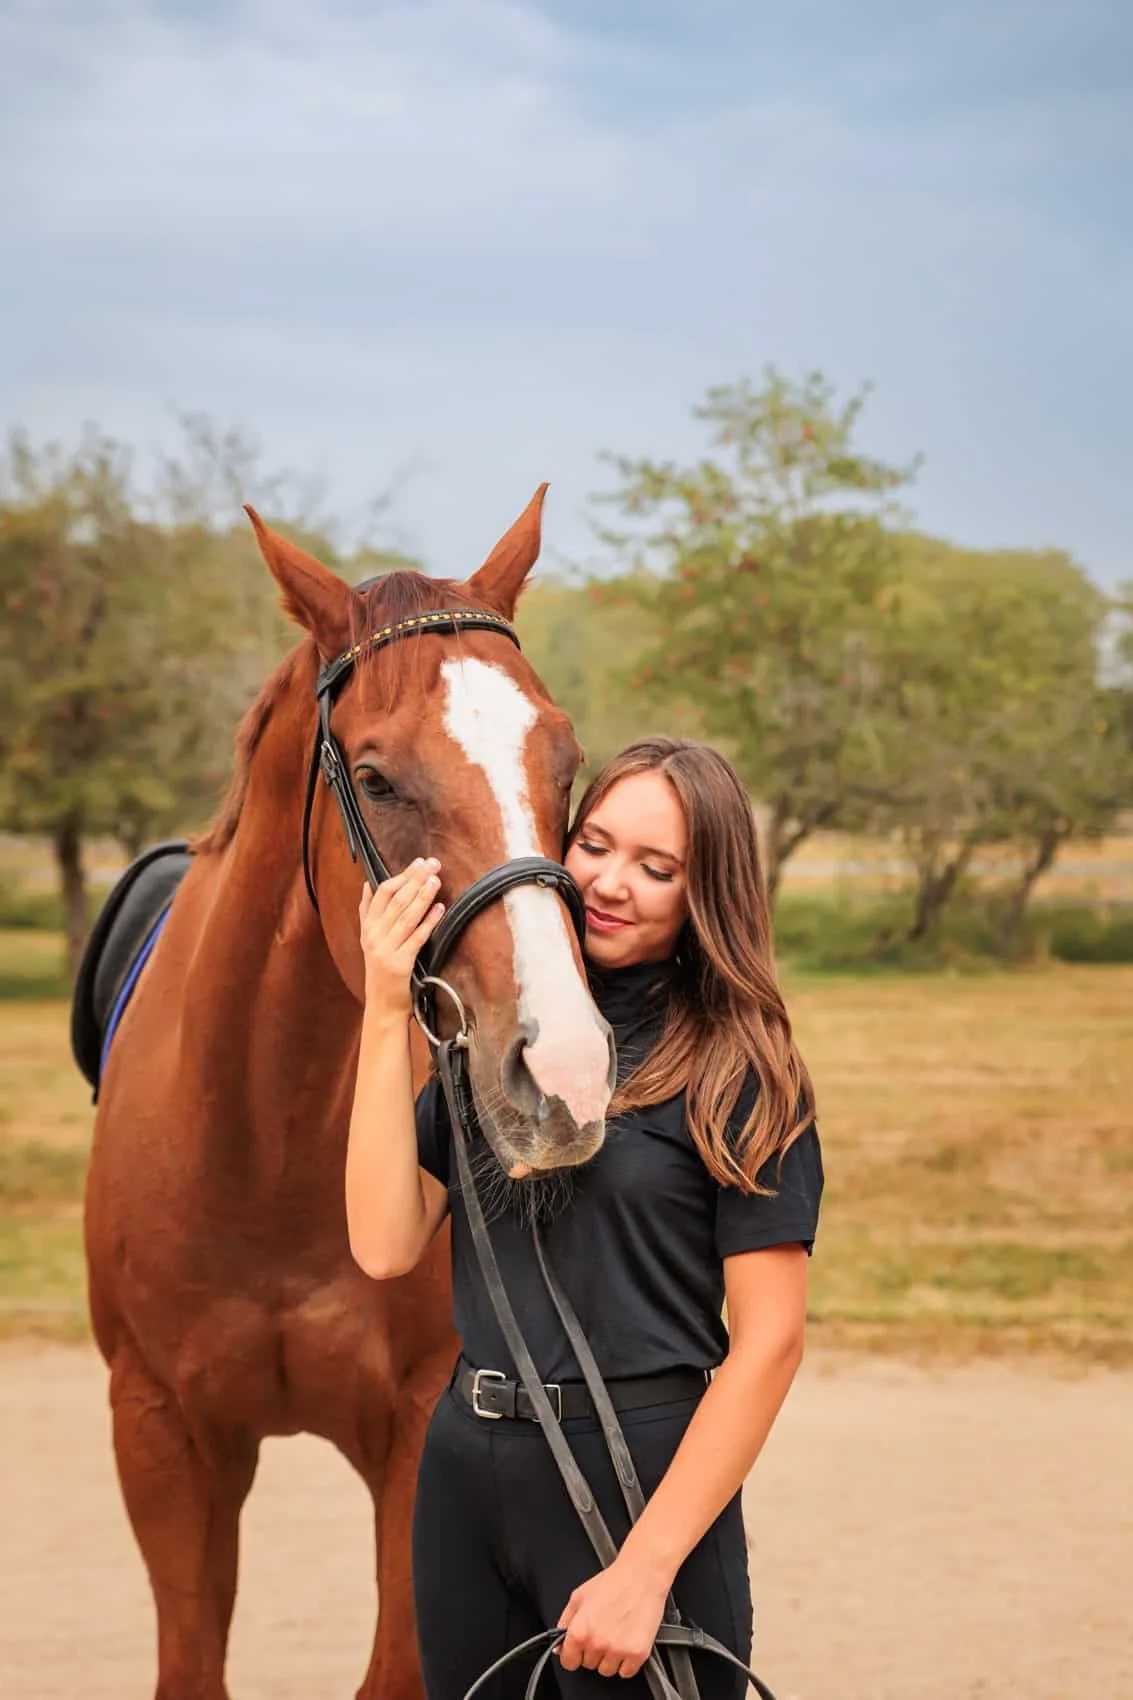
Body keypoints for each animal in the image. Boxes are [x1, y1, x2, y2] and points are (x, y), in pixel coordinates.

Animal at [82, 487, 616, 1700]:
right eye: (374, 778)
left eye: (563, 761)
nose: (564, 1072)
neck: (262, 1155)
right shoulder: (160, 1435)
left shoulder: (418, 1433)